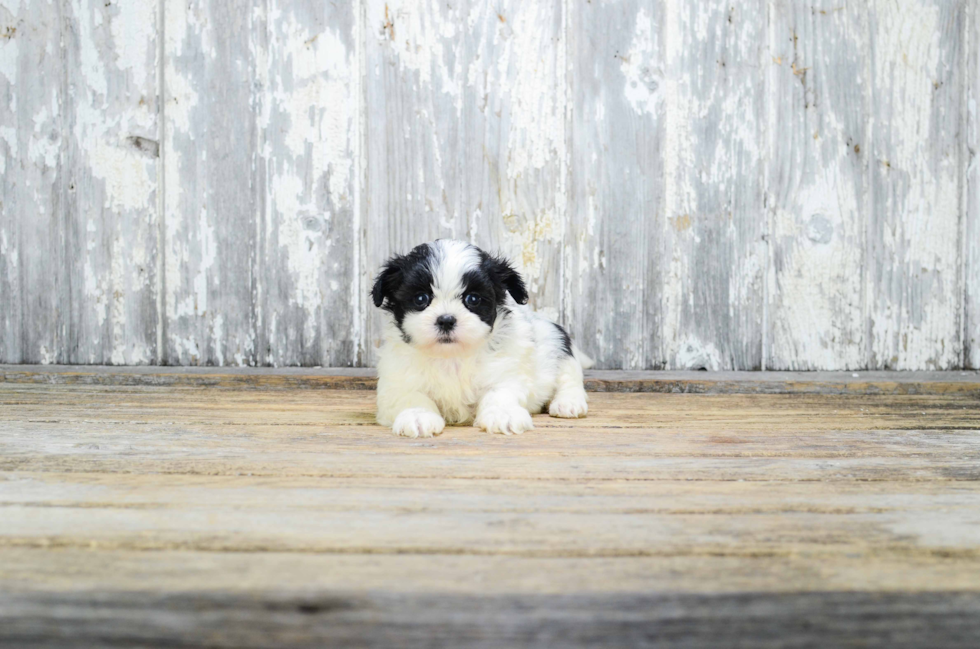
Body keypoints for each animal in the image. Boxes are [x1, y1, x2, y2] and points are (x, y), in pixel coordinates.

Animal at [374, 238, 588, 436]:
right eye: (420, 299)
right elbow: (411, 396)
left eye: (473, 299)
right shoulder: (398, 380)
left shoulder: (505, 370)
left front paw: (503, 415)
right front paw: (418, 415)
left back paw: (569, 402)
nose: (446, 320)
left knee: (568, 380)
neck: (451, 357)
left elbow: (499, 393)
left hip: (556, 344)